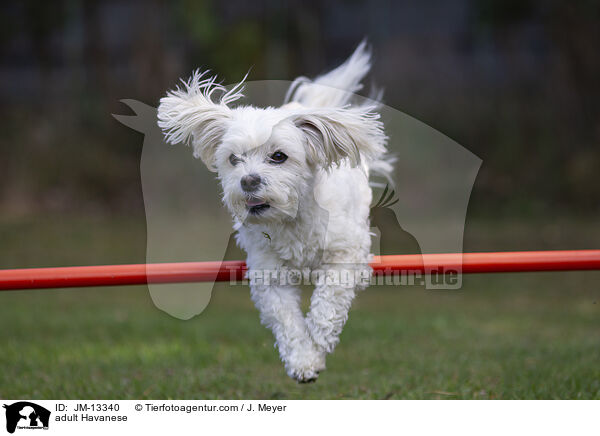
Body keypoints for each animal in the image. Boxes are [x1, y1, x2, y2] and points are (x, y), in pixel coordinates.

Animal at [157, 41, 392, 382]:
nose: (248, 180)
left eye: (279, 156)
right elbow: (286, 320)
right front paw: (304, 360)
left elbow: (331, 295)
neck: (292, 217)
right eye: (234, 159)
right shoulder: (269, 274)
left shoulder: (347, 251)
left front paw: (319, 333)